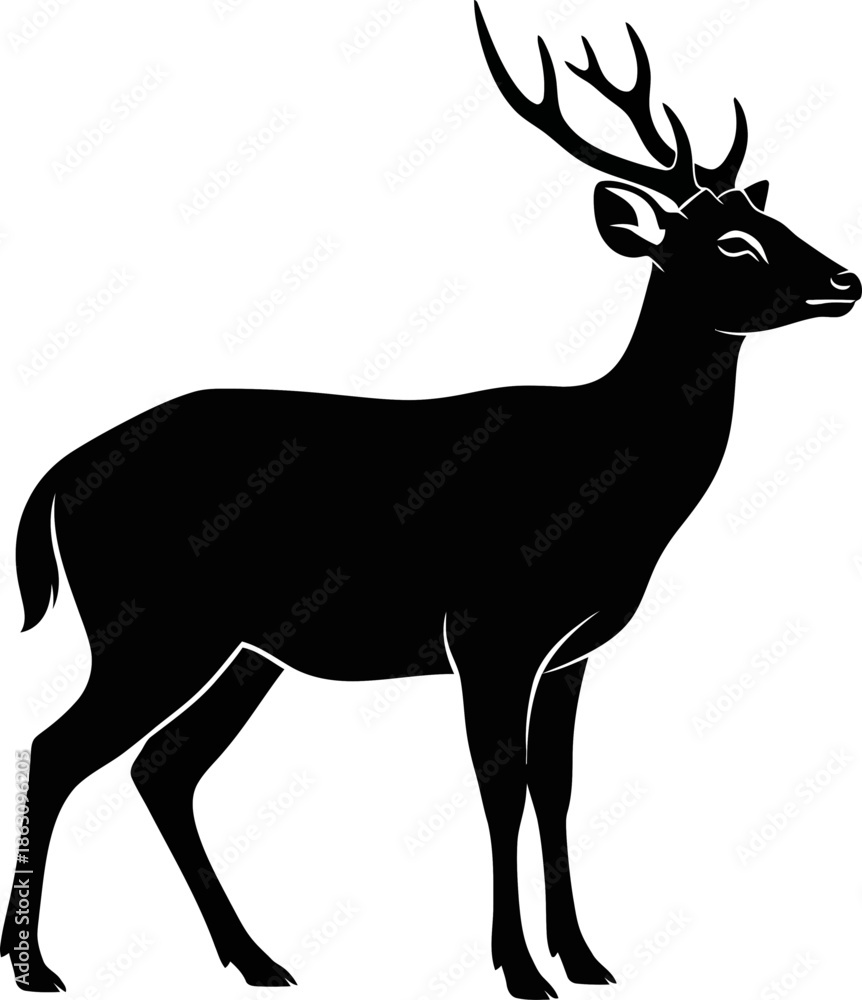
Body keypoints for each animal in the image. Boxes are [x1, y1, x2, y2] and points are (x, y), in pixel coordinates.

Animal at [3, 5, 859, 998]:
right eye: (733, 243)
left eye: (772, 216)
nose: (846, 279)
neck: (607, 480)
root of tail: (56, 478)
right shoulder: (489, 627)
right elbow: (501, 786)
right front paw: (519, 969)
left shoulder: (570, 650)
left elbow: (557, 786)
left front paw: (586, 959)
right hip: (148, 624)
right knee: (59, 748)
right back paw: (39, 967)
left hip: (243, 647)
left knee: (161, 770)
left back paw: (257, 959)